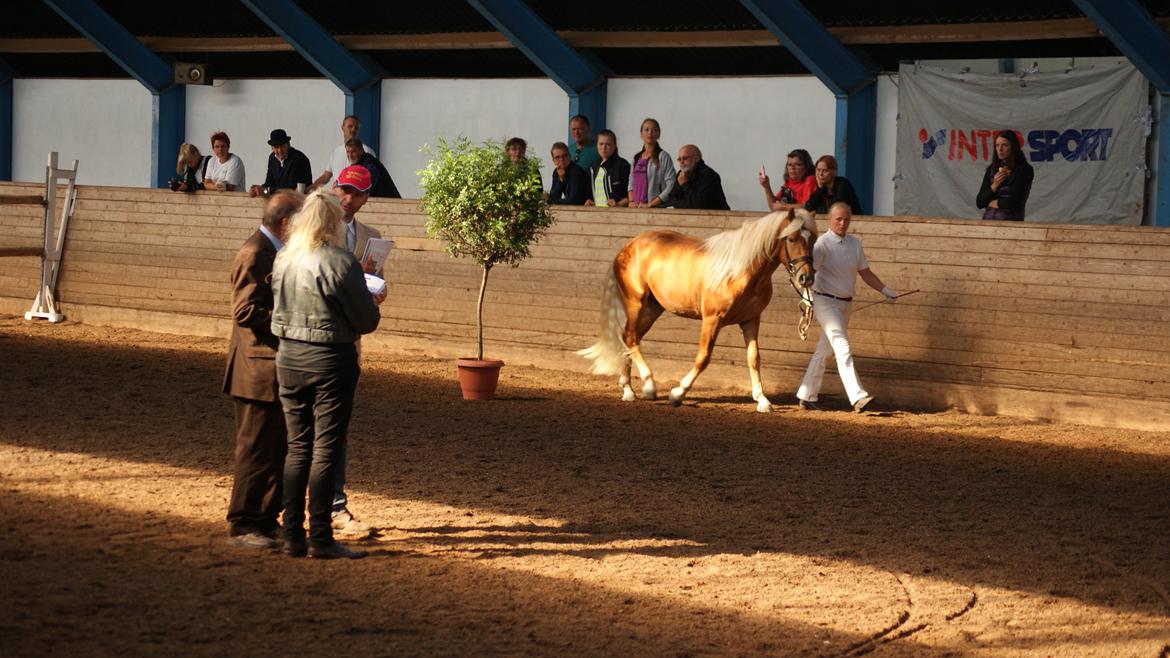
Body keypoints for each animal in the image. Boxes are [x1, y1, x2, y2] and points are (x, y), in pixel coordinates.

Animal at [580, 207, 819, 409]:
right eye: (791, 238)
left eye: (814, 239)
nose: (806, 278)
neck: (741, 271)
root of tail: (628, 246)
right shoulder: (712, 319)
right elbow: (703, 357)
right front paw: (678, 393)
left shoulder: (751, 320)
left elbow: (754, 358)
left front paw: (762, 400)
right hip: (636, 303)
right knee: (630, 338)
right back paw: (647, 386)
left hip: (652, 309)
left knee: (630, 338)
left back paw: (628, 388)